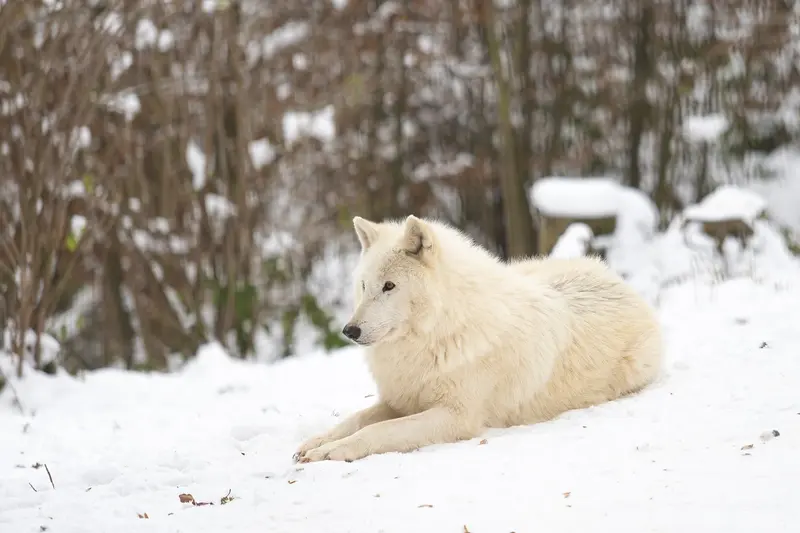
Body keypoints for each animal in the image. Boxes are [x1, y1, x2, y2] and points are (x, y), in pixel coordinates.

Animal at [293, 215, 663, 463]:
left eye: (389, 286)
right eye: (364, 285)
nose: (349, 331)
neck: (439, 333)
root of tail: (615, 277)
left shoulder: (456, 417)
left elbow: (376, 431)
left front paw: (333, 451)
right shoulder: (399, 401)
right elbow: (355, 420)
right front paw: (316, 443)